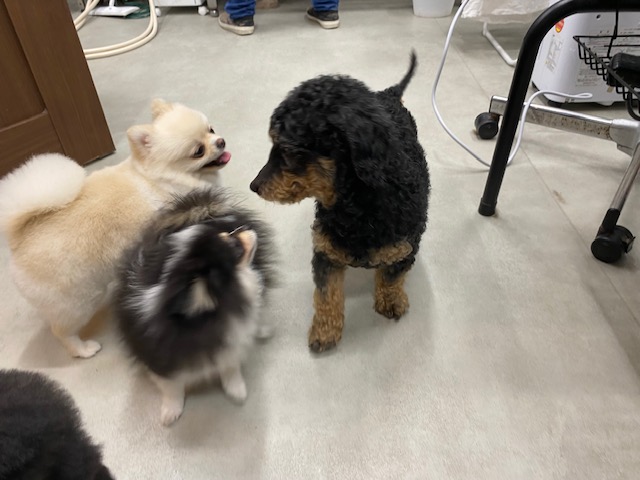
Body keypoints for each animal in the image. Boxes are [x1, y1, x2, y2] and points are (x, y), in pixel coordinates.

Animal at [0, 99, 230, 359]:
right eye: (198, 151)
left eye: (210, 129)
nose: (220, 141)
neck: (161, 177)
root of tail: (18, 240)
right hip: (80, 301)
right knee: (63, 332)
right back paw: (84, 349)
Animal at [115, 189, 276, 426]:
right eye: (234, 247)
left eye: (228, 235)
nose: (243, 228)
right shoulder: (159, 360)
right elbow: (171, 387)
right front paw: (171, 411)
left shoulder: (229, 339)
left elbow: (230, 366)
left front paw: (236, 389)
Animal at [250, 52, 430, 353]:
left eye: (286, 149)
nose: (254, 186)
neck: (358, 206)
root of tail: (388, 94)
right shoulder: (326, 251)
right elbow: (327, 295)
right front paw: (325, 332)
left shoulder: (404, 248)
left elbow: (392, 277)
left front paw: (391, 301)